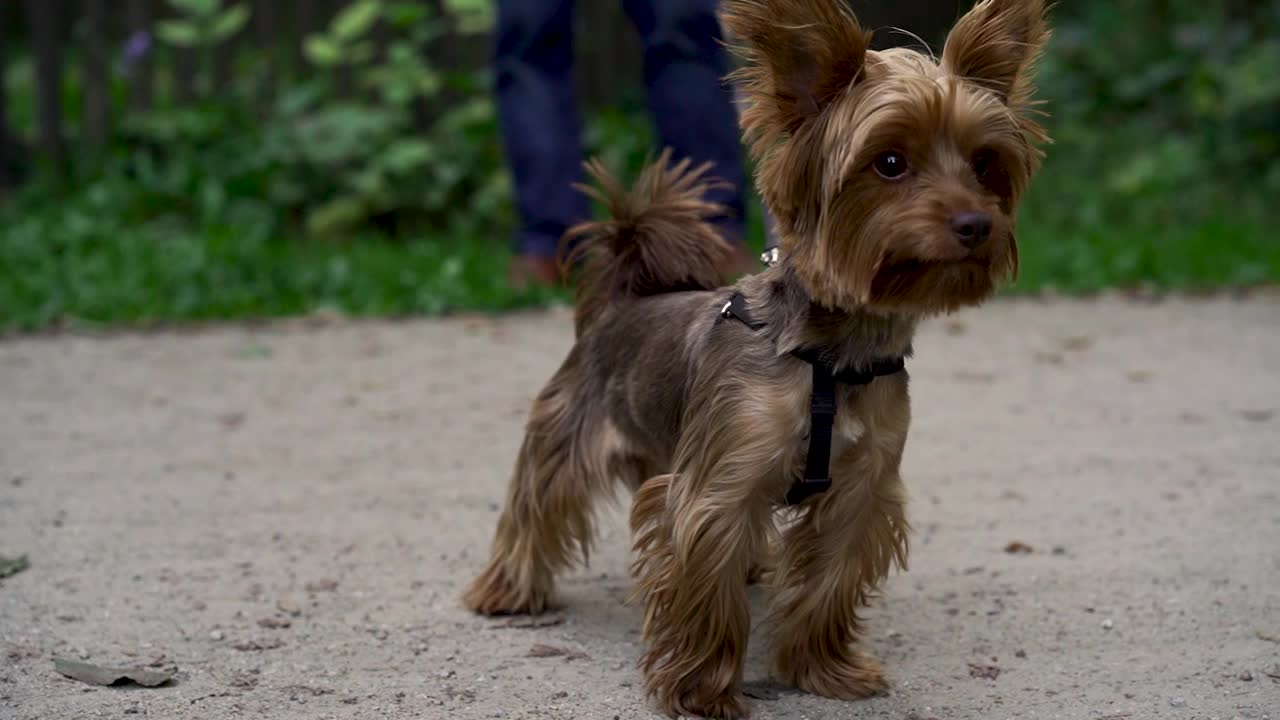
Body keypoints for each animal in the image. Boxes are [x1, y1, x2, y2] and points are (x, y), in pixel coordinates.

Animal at [468, 0, 1049, 712]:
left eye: (984, 162)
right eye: (888, 162)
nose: (976, 224)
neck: (832, 358)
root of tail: (620, 300)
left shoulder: (859, 490)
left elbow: (828, 583)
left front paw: (823, 669)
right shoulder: (718, 488)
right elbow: (706, 592)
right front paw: (701, 691)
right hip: (567, 429)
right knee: (535, 505)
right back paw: (506, 590)